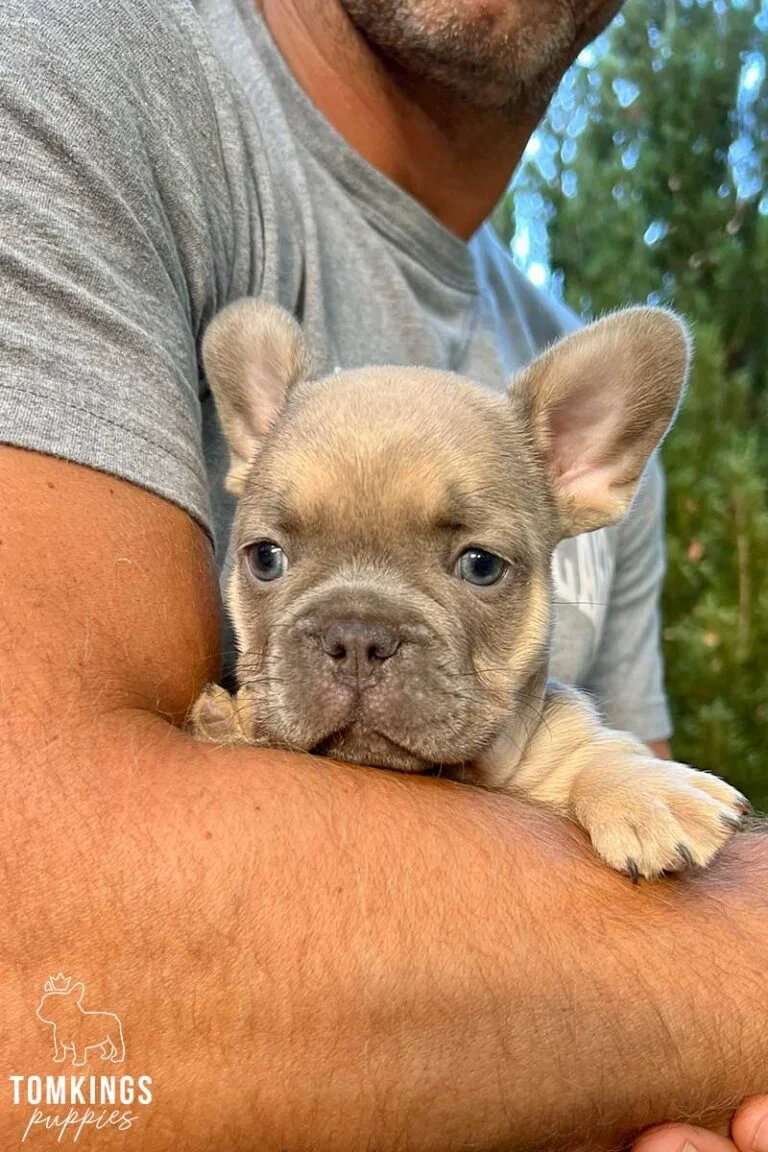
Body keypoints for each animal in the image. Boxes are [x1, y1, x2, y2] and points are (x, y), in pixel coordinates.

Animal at [188, 299, 746, 880]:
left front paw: (646, 788)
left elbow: (599, 749)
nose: (358, 636)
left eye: (481, 566)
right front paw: (231, 723)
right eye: (265, 558)